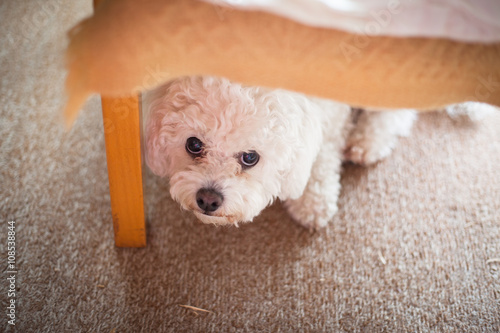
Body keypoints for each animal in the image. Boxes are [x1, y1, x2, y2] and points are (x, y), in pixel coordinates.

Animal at [144, 76, 414, 230]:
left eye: (250, 157)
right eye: (194, 145)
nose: (208, 199)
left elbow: (321, 156)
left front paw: (311, 203)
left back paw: (368, 142)